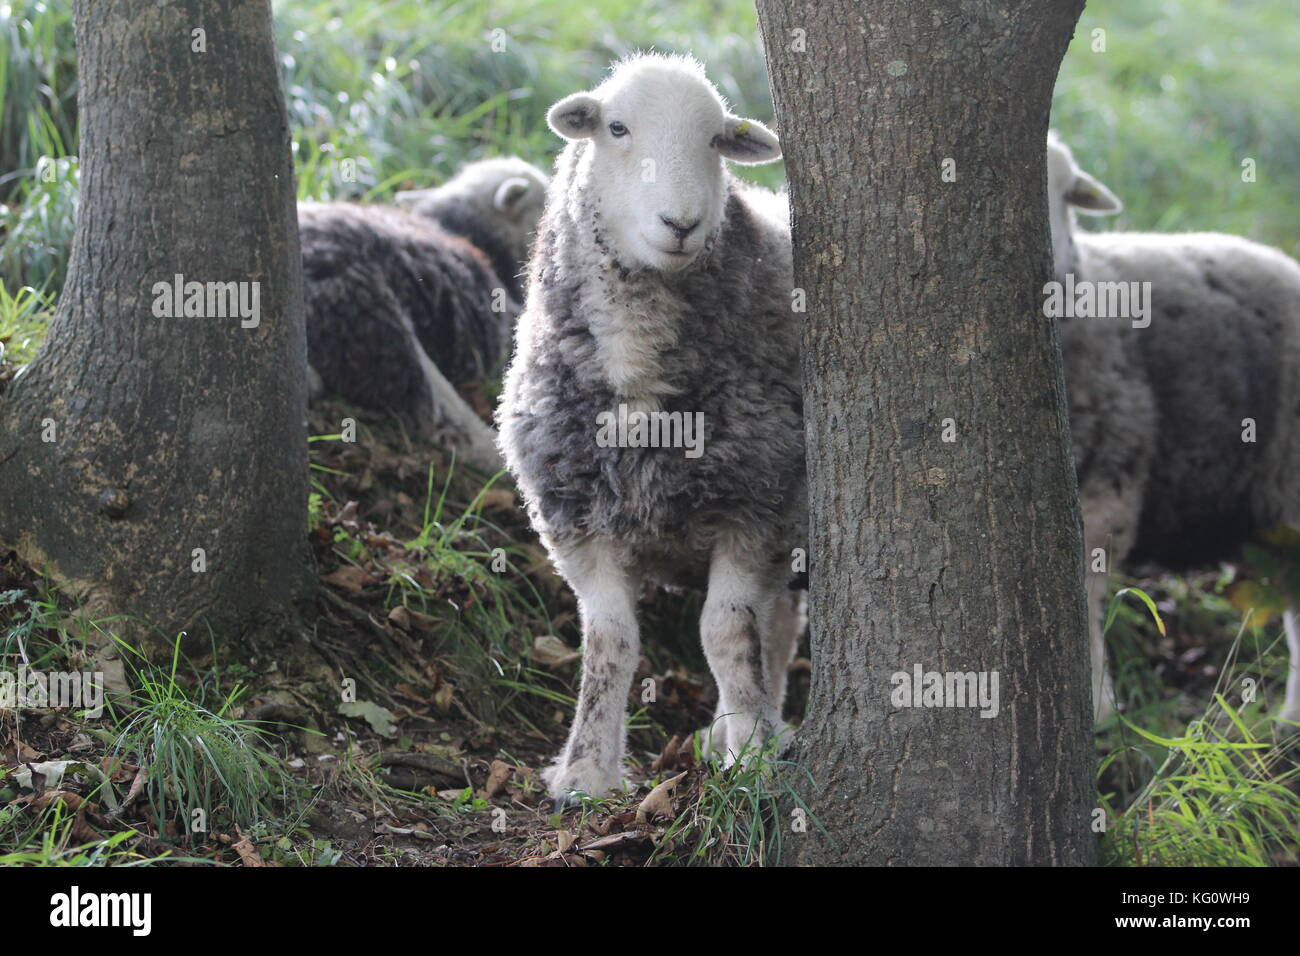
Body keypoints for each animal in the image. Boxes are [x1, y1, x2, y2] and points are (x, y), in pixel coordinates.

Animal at [496, 50, 800, 801]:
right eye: (616, 127)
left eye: (717, 140)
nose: (681, 223)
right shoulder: (575, 518)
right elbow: (610, 642)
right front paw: (585, 771)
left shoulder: (757, 501)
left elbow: (726, 632)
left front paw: (753, 755)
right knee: (778, 621)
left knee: (771, 627)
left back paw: (753, 728)